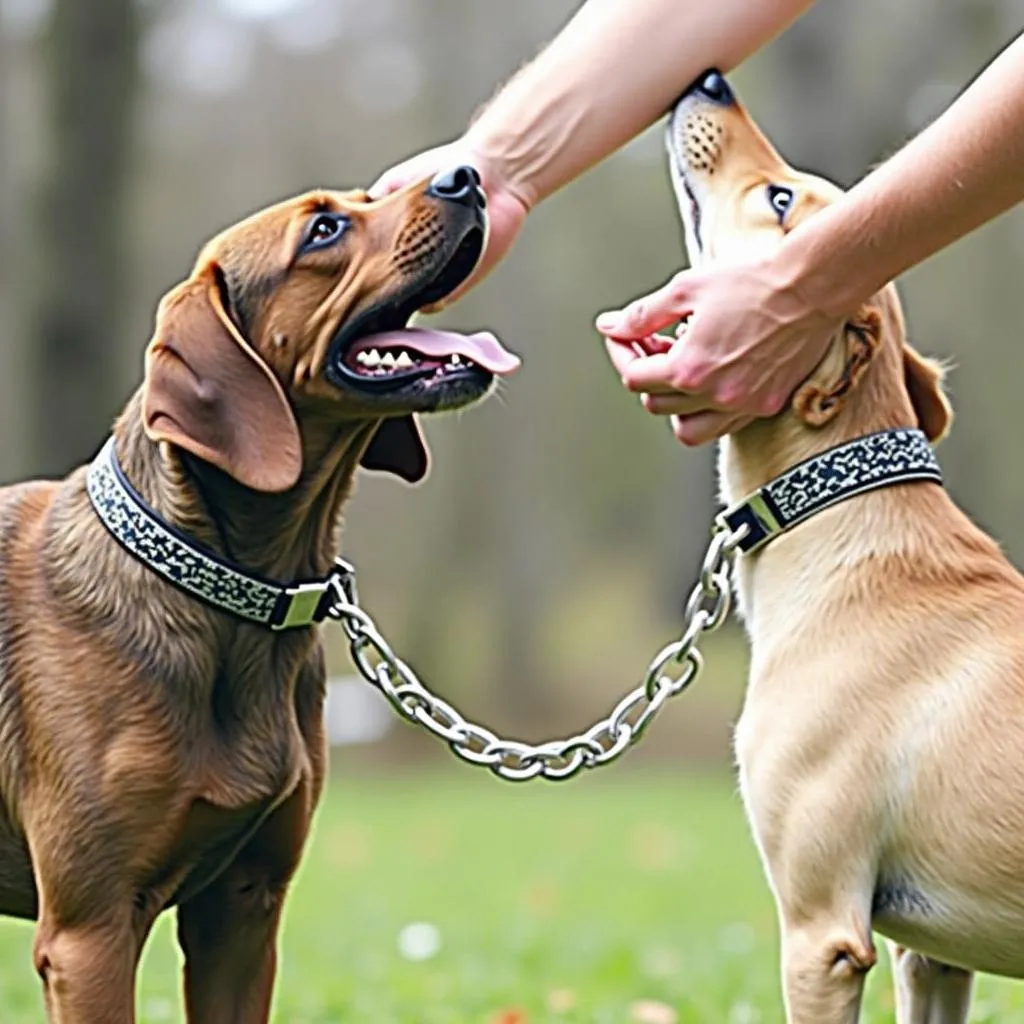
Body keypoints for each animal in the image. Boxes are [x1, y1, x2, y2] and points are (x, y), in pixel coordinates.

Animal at [0, 163, 516, 1019]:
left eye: (365, 199)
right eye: (323, 230)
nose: (467, 175)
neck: (230, 593)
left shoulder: (243, 910)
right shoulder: (88, 931)